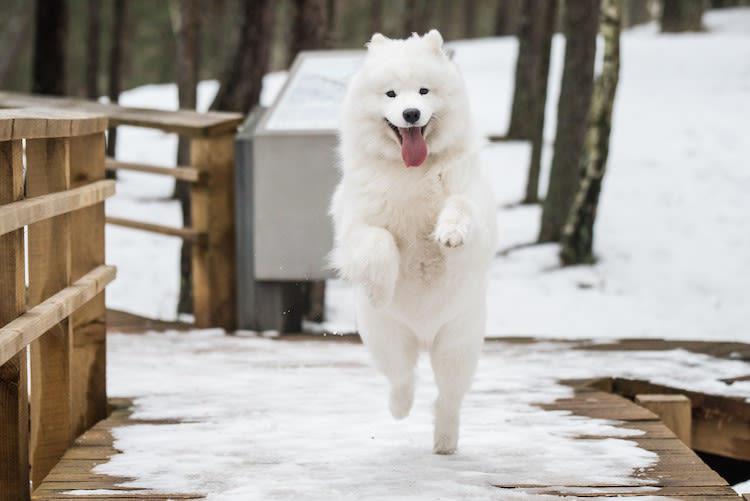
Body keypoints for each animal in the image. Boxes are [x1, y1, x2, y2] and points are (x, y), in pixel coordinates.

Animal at [330, 30, 496, 454]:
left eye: (423, 91)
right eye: (391, 94)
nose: (410, 114)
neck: (410, 173)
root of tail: (424, 337)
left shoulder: (473, 206)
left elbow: (459, 208)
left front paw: (449, 233)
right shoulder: (358, 227)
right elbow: (380, 243)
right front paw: (379, 287)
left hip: (457, 345)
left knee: (448, 397)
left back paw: (445, 442)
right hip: (387, 339)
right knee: (402, 377)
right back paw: (399, 409)